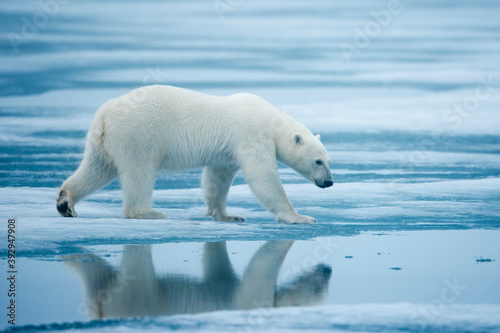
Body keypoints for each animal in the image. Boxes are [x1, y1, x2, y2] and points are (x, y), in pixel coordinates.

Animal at [56, 85, 334, 223]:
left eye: (329, 160)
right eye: (318, 161)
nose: (329, 182)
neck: (272, 120)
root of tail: (105, 114)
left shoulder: (225, 152)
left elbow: (217, 178)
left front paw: (227, 215)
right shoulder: (251, 134)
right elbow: (262, 176)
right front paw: (300, 217)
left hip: (101, 140)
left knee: (97, 167)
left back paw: (65, 202)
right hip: (140, 132)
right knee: (139, 171)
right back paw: (149, 212)